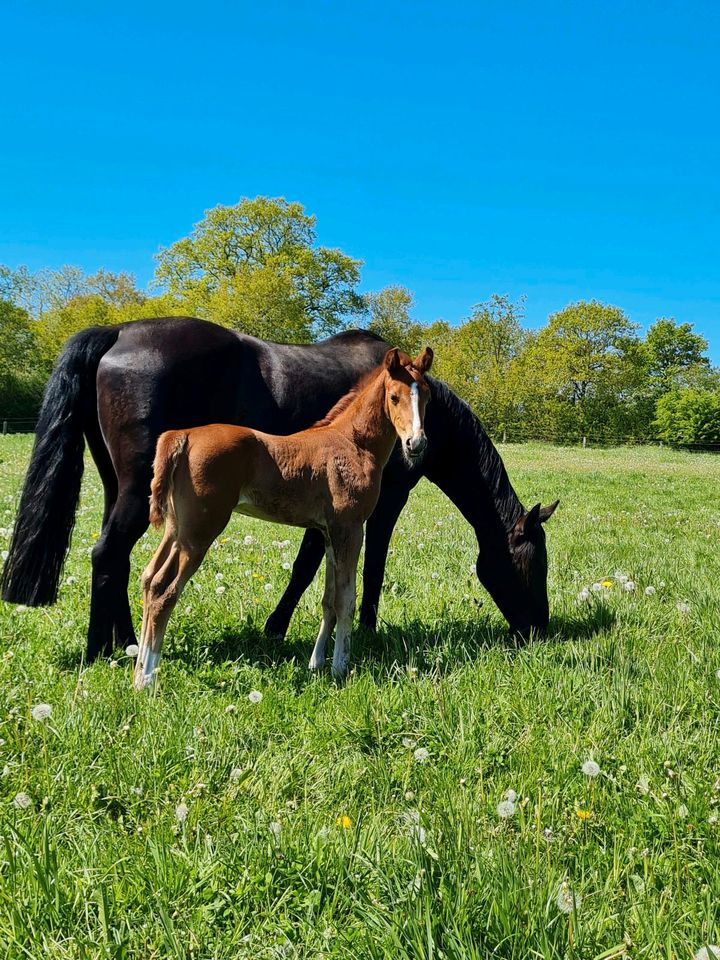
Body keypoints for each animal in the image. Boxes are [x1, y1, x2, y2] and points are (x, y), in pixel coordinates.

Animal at [132, 346, 430, 688]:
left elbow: (328, 600)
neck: (353, 443)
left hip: (176, 529)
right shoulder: (351, 528)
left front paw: (316, 664)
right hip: (199, 532)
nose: (416, 443)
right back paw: (147, 678)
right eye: (394, 397)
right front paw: (340, 668)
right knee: (164, 589)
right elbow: (345, 600)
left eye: (427, 395)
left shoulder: (328, 533)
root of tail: (183, 435)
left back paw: (138, 669)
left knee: (148, 578)